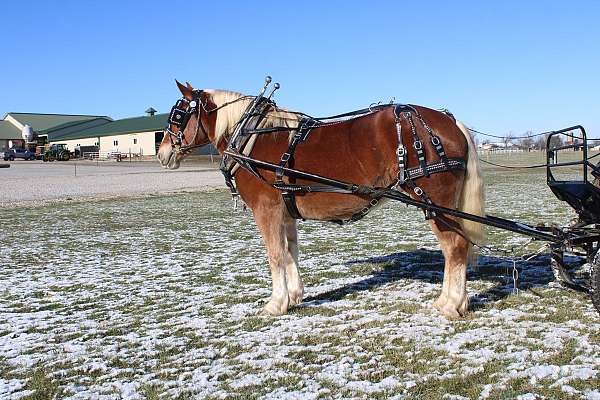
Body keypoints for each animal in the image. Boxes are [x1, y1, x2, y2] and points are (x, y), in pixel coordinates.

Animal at [157, 80, 486, 318]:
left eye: (177, 116)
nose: (162, 153)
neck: (250, 137)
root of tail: (449, 122)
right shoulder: (284, 211)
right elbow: (290, 252)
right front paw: (294, 296)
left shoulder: (266, 209)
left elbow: (275, 255)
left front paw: (276, 303)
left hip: (435, 203)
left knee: (455, 248)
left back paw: (451, 304)